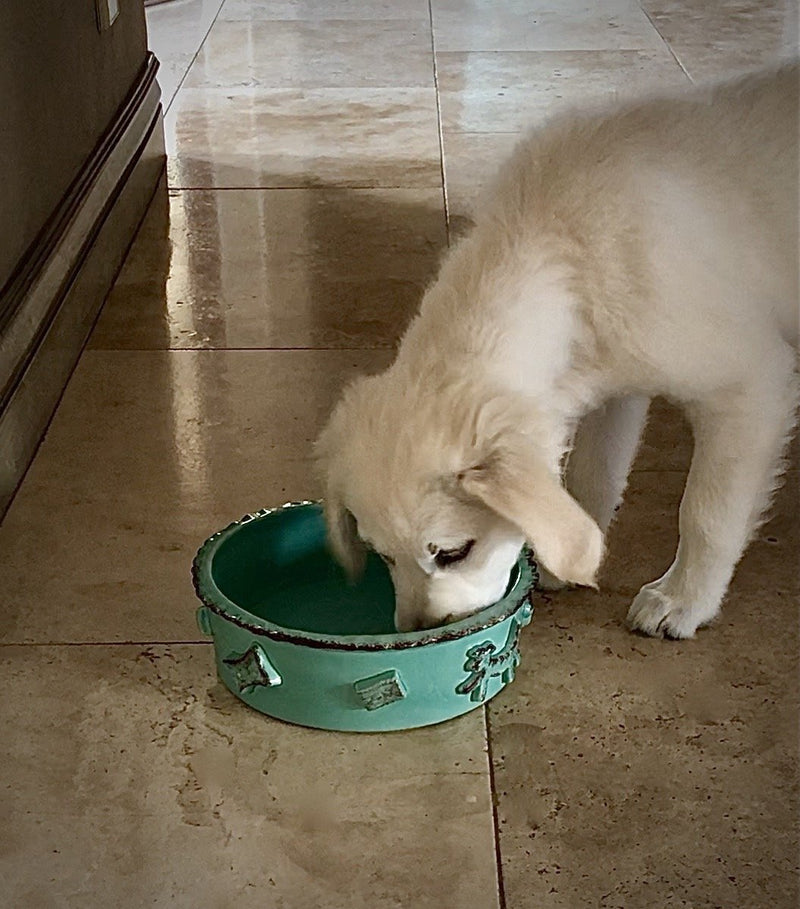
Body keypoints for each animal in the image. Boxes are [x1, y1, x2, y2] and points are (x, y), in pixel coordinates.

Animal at [316, 63, 796, 636]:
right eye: (384, 556)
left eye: (453, 553)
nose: (420, 633)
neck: (560, 249)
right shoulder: (615, 387)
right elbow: (593, 478)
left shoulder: (748, 386)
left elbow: (706, 513)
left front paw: (682, 600)